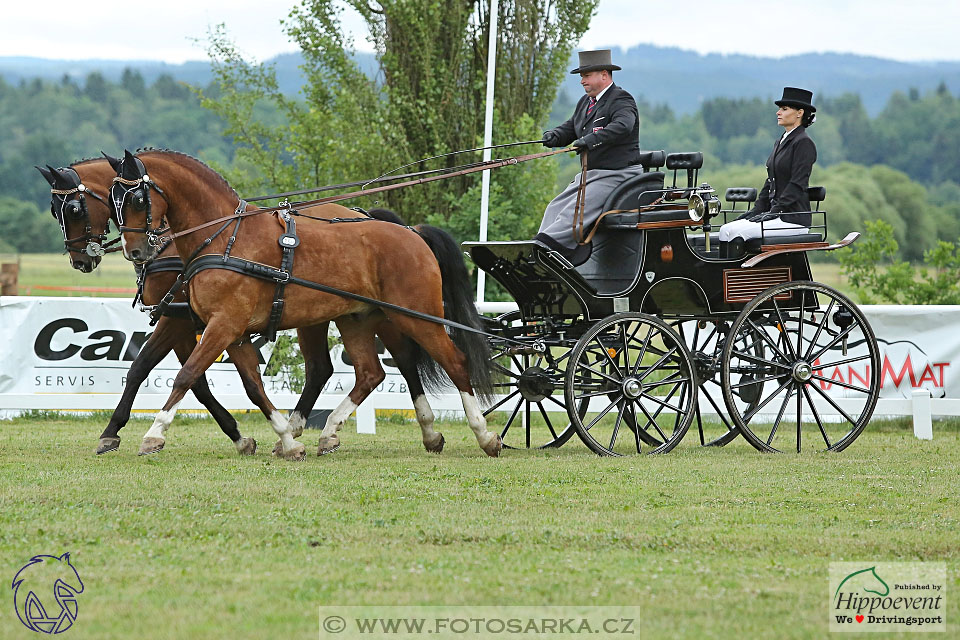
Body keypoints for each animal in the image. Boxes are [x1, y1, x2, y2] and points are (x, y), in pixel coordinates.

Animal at [111, 150, 498, 460]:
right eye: (114, 201)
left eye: (137, 200)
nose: (135, 251)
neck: (225, 238)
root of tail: (413, 233)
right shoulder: (231, 331)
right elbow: (253, 387)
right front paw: (287, 439)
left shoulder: (222, 324)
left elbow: (186, 375)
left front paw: (153, 435)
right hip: (358, 318)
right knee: (370, 372)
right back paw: (331, 432)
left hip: (418, 317)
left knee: (455, 363)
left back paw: (485, 435)